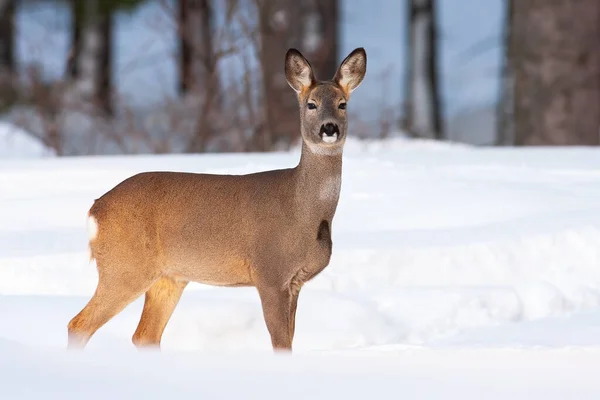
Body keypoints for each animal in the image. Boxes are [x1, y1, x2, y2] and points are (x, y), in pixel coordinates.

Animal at [65, 47, 366, 354]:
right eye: (311, 104)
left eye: (342, 104)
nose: (329, 128)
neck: (304, 211)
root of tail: (95, 210)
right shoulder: (269, 272)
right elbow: (281, 343)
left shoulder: (294, 282)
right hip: (125, 266)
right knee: (79, 324)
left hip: (168, 277)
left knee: (144, 335)